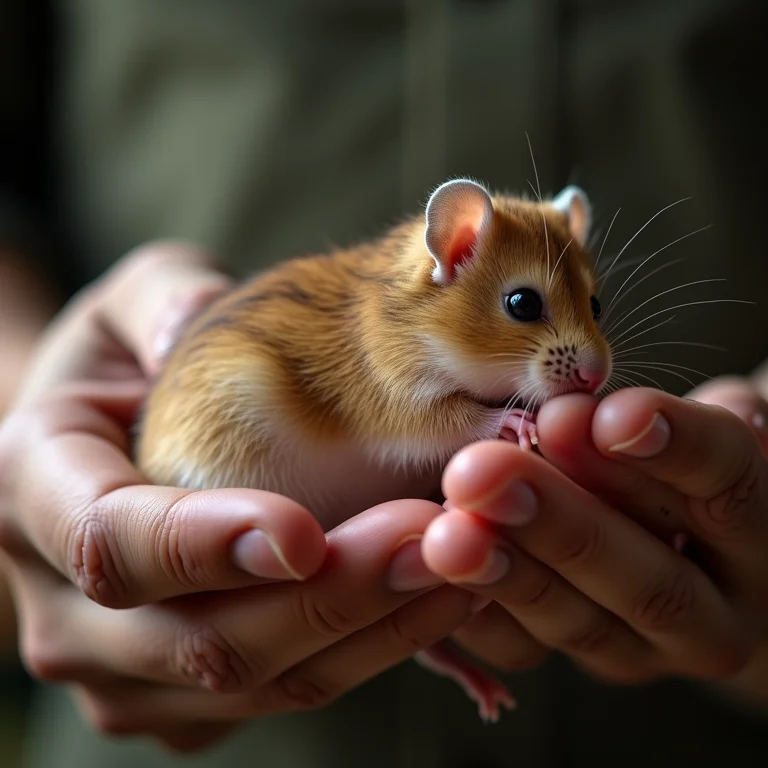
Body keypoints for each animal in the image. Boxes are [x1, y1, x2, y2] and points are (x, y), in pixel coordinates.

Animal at [136, 178, 612, 722]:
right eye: (522, 303)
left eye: (596, 306)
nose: (597, 377)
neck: (418, 320)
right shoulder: (395, 398)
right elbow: (454, 421)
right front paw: (513, 422)